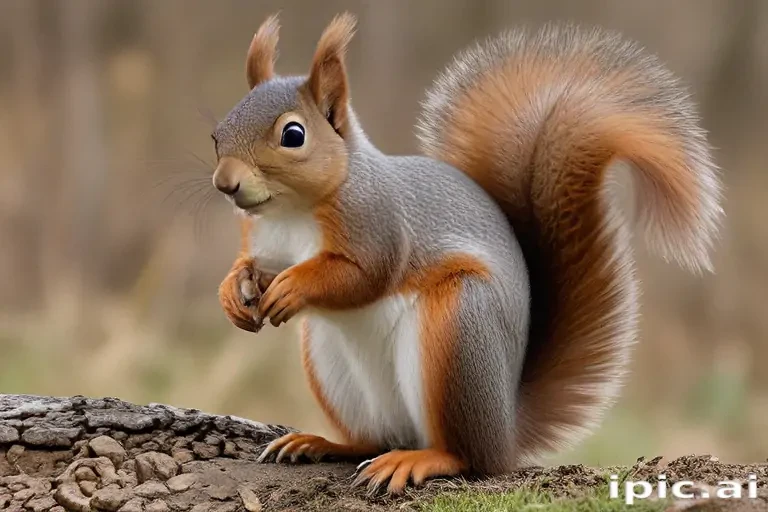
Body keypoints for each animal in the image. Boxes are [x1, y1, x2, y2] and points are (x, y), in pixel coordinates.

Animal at [212, 13, 722, 494]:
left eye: (293, 135)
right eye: (217, 133)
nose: (225, 183)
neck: (291, 212)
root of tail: (506, 429)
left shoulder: (379, 223)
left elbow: (366, 275)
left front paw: (294, 286)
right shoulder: (261, 239)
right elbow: (252, 266)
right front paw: (232, 291)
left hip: (460, 328)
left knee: (468, 457)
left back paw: (420, 460)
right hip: (333, 367)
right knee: (373, 439)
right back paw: (320, 442)